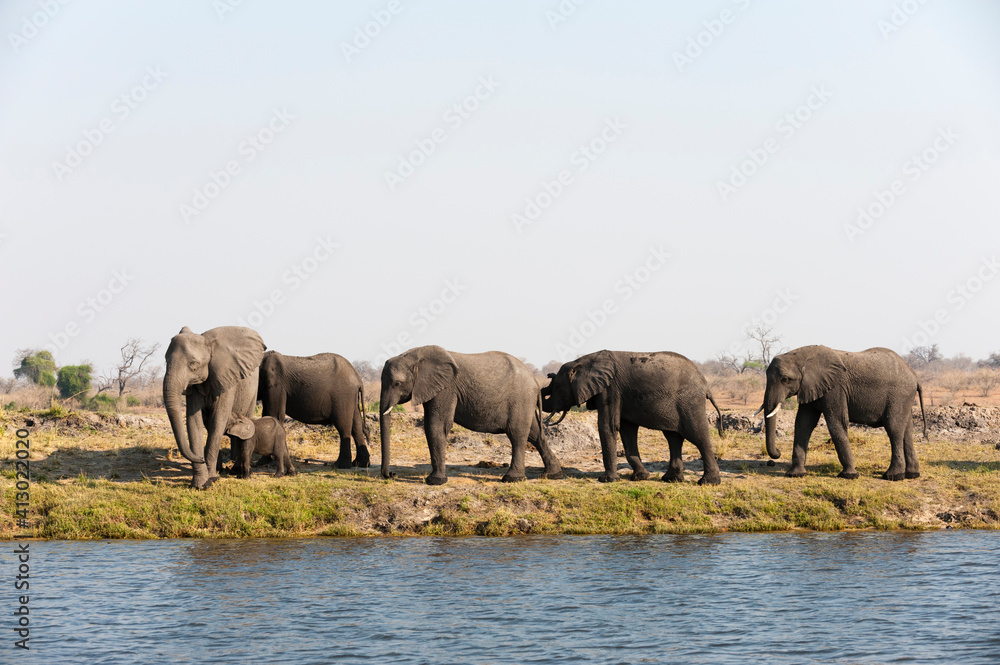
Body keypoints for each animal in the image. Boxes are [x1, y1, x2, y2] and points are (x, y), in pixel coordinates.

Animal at [163, 326, 266, 489]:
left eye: (193, 364)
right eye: (165, 360)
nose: (200, 458)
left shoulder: (227, 378)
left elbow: (218, 420)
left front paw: (211, 479)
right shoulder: (194, 385)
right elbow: (194, 422)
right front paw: (201, 484)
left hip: (252, 390)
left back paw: (234, 470)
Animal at [379, 345, 564, 485]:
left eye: (397, 384)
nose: (392, 474)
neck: (415, 355)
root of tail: (535, 381)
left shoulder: (446, 388)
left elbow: (437, 425)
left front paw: (434, 482)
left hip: (520, 399)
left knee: (517, 434)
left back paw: (512, 479)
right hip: (524, 402)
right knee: (535, 433)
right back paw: (552, 475)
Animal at [542, 350, 723, 485]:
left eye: (557, 387)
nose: (549, 375)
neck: (582, 362)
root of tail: (705, 385)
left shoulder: (610, 389)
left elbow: (608, 426)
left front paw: (607, 480)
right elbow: (626, 430)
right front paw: (640, 477)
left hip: (690, 402)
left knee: (698, 436)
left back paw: (708, 482)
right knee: (673, 438)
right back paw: (671, 480)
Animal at [759, 345, 927, 480]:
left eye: (785, 379)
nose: (778, 453)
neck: (803, 356)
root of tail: (915, 376)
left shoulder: (835, 389)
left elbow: (837, 423)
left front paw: (849, 476)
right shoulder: (810, 387)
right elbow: (803, 423)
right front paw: (795, 475)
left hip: (899, 395)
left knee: (893, 429)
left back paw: (893, 476)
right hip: (904, 398)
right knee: (907, 430)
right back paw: (912, 474)